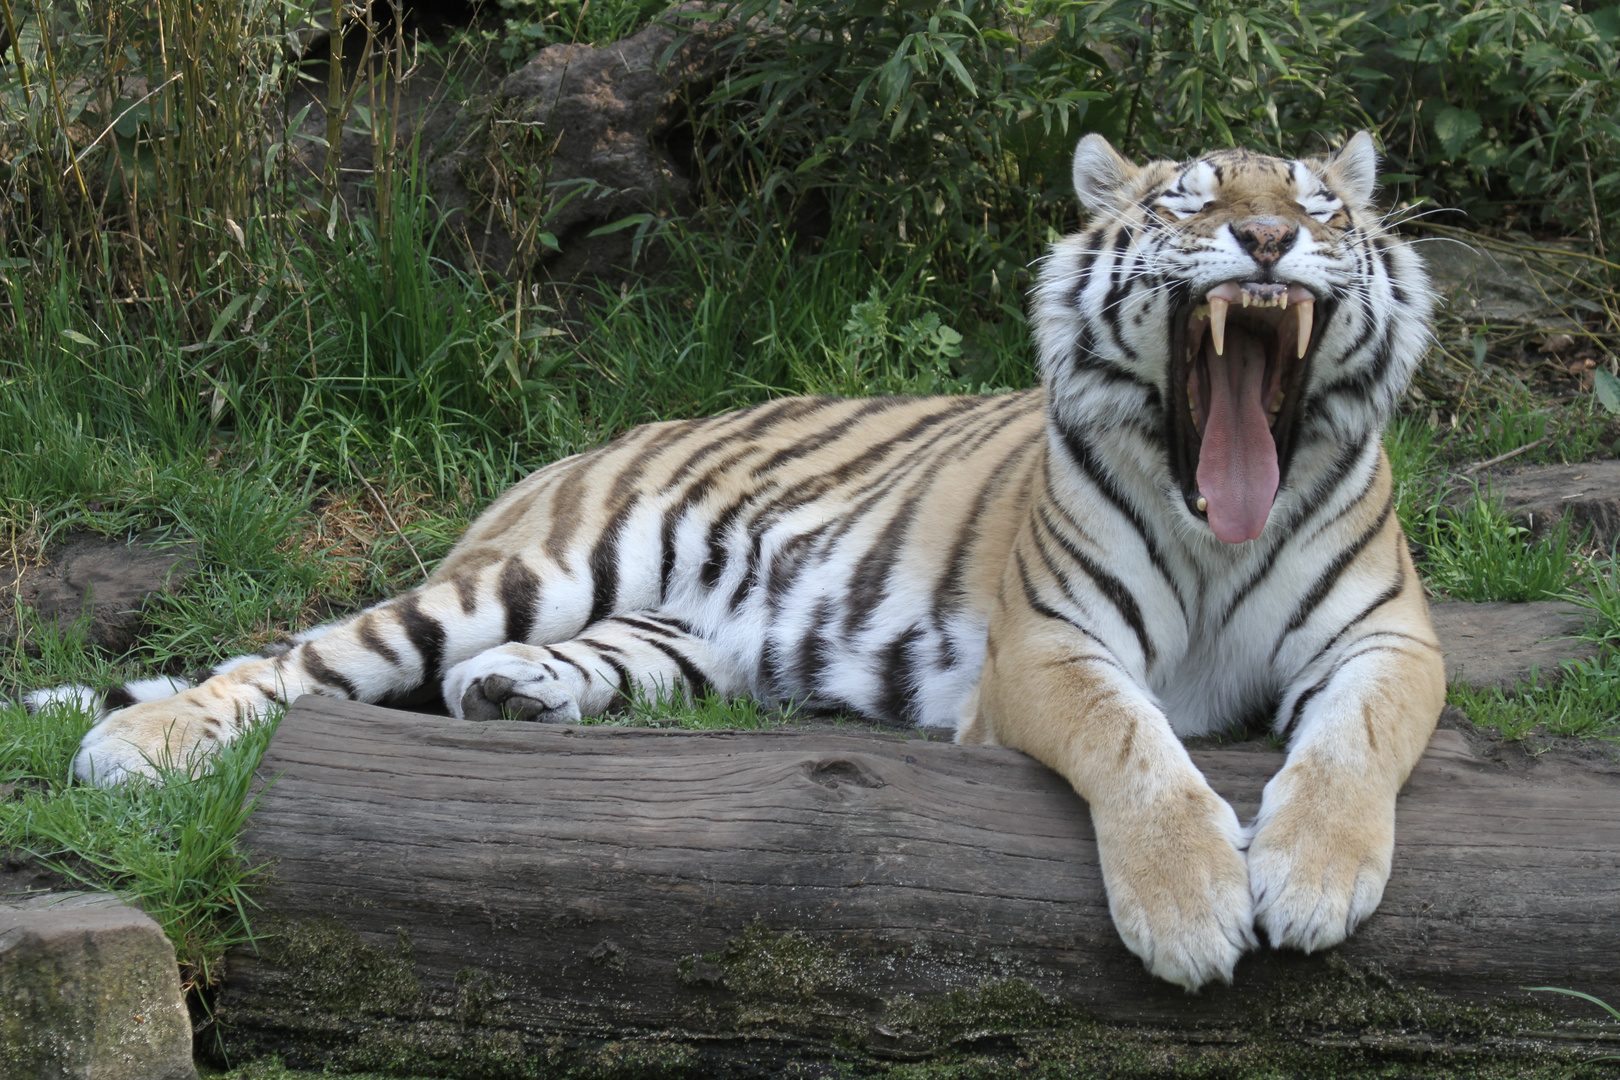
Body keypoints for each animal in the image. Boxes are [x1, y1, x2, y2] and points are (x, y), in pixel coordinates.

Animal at [34, 131, 1445, 990]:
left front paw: (1310, 881)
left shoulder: (1390, 636)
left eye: (1320, 204)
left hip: (677, 640)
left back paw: (510, 695)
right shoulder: (1051, 646)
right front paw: (1196, 910)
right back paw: (140, 745)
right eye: (1191, 199)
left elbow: (1357, 738)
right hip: (530, 572)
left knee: (510, 672)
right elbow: (1137, 746)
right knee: (301, 661)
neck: (1217, 524)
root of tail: (589, 440)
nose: (1268, 244)